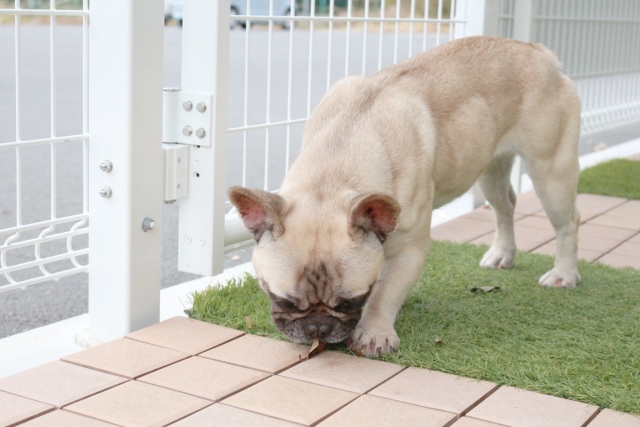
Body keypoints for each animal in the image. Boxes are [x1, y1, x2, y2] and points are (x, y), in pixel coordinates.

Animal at [228, 36, 581, 357]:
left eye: (352, 301)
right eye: (282, 300)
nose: (318, 327)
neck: (333, 171)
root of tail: (539, 52)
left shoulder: (410, 248)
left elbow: (386, 294)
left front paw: (373, 333)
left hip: (551, 171)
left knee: (568, 222)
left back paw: (563, 274)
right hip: (490, 171)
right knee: (504, 206)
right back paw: (502, 255)